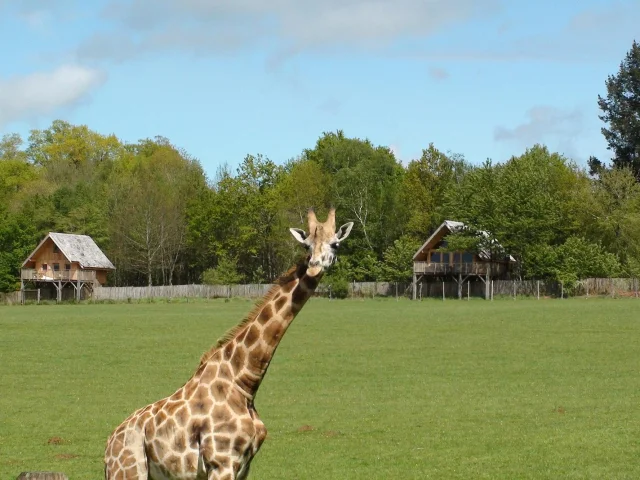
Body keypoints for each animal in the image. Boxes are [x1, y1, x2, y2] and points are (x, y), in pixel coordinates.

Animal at [105, 208, 356, 478]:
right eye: (307, 245)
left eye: (335, 243)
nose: (314, 266)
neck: (243, 383)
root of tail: (108, 447)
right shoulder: (221, 461)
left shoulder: (244, 465)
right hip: (128, 471)